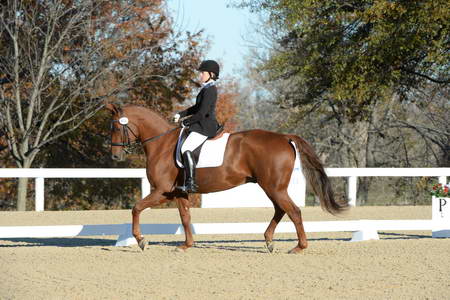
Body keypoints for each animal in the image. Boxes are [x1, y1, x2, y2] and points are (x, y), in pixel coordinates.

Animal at [106, 103, 348, 253]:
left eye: (116, 126)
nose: (115, 156)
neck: (162, 144)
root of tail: (284, 137)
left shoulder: (161, 191)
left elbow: (136, 208)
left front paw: (141, 240)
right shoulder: (179, 192)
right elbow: (185, 218)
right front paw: (186, 245)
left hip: (273, 187)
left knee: (293, 211)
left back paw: (299, 247)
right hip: (272, 187)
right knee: (281, 210)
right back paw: (269, 241)